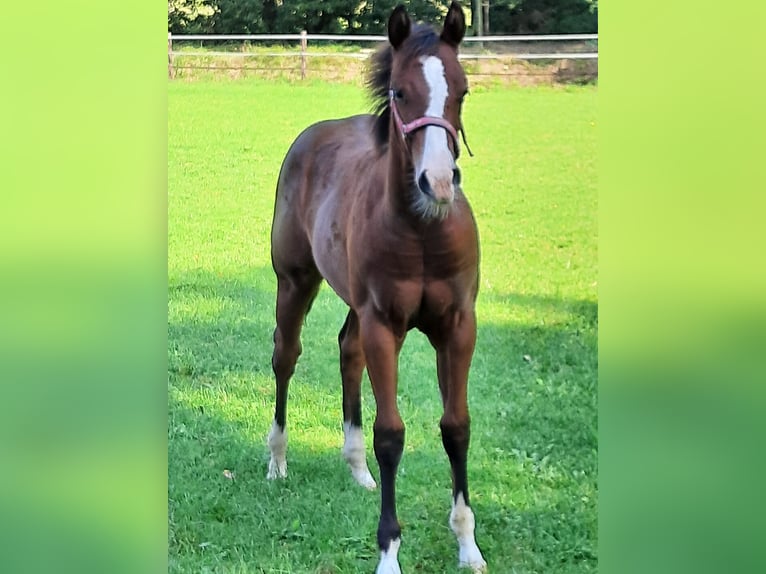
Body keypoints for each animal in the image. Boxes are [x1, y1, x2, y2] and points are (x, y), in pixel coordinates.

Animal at [267, 3, 486, 572]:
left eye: (462, 90)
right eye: (400, 92)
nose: (438, 182)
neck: (423, 232)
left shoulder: (457, 325)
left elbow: (457, 425)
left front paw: (467, 544)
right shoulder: (385, 324)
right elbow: (391, 435)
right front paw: (388, 551)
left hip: (355, 304)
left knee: (348, 349)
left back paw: (357, 467)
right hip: (295, 281)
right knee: (285, 356)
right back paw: (277, 460)